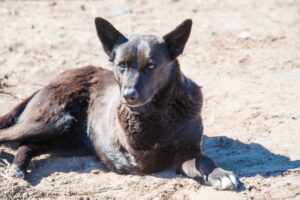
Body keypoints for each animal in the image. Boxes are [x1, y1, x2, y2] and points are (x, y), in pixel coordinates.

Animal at [0, 17, 239, 191]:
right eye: (121, 65)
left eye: (151, 66)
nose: (128, 95)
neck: (160, 112)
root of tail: (54, 79)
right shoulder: (149, 158)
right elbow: (189, 160)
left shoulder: (189, 148)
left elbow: (202, 159)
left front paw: (220, 174)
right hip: (53, 121)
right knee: (10, 136)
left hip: (68, 140)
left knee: (27, 146)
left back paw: (17, 169)